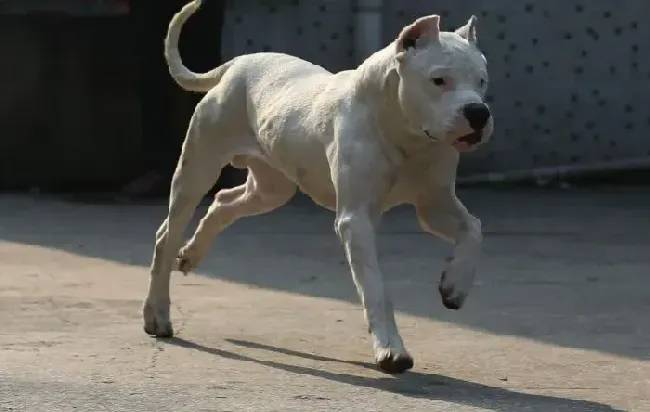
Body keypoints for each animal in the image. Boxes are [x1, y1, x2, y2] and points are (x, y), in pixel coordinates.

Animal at [143, 0, 492, 374]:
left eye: (482, 81)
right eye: (439, 80)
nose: (479, 112)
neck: (405, 132)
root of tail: (237, 64)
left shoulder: (434, 204)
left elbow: (474, 229)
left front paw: (455, 285)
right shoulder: (357, 219)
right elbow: (376, 289)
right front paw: (390, 350)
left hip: (270, 188)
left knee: (224, 201)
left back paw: (192, 253)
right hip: (197, 170)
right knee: (167, 234)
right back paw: (157, 314)